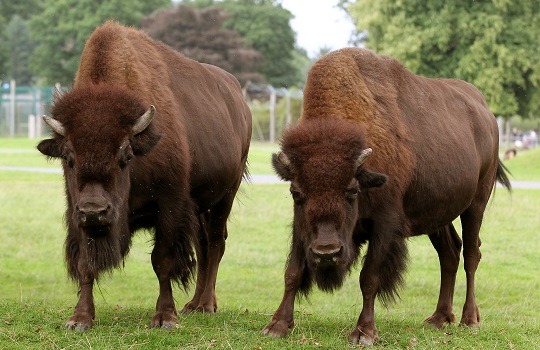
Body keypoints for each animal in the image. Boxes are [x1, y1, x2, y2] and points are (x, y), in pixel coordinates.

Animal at [37, 21, 252, 328]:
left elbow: (162, 260)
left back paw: (207, 305)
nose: (95, 211)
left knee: (215, 243)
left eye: (125, 156)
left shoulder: (170, 203)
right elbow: (85, 264)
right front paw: (80, 318)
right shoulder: (76, 211)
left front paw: (165, 317)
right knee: (202, 246)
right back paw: (193, 305)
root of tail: (241, 104)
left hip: (226, 193)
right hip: (200, 205)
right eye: (68, 157)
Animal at [262, 47, 510, 346]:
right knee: (450, 253)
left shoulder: (385, 224)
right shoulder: (302, 227)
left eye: (352, 190)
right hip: (437, 215)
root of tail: (487, 114)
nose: (326, 252)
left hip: (476, 204)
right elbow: (293, 272)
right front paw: (277, 325)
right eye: (297, 192)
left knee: (472, 253)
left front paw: (364, 332)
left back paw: (469, 319)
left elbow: (369, 278)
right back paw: (438, 318)